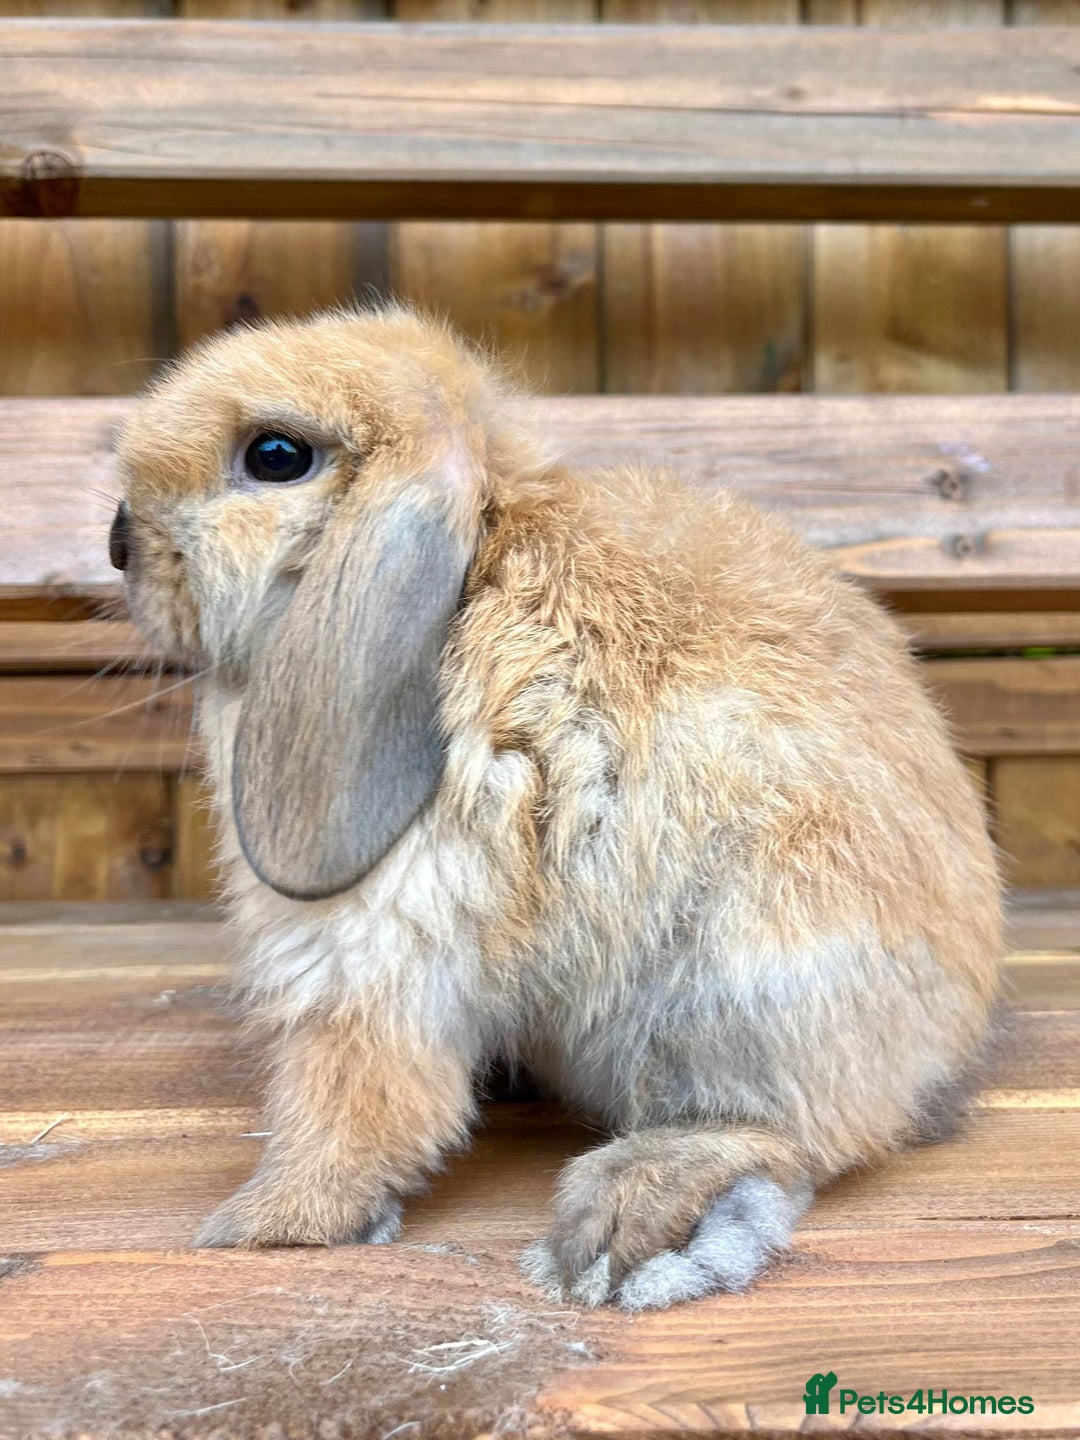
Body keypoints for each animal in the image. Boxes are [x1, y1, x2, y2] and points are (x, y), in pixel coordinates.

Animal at [111, 305, 1002, 1311]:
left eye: (273, 455)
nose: (119, 544)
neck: (477, 570)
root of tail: (946, 1043)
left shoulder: (380, 934)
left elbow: (356, 1087)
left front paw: (268, 1223)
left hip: (754, 972)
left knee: (790, 1131)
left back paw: (624, 1225)